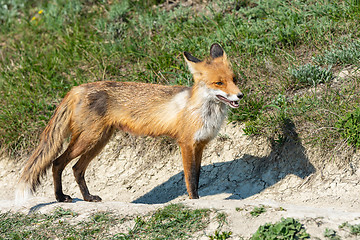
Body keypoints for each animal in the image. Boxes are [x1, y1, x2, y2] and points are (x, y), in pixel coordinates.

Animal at [15, 43, 243, 202]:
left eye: (234, 79)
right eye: (219, 83)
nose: (240, 96)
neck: (203, 111)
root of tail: (77, 87)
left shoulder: (200, 144)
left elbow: (197, 175)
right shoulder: (186, 144)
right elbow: (190, 179)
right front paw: (193, 200)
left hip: (99, 141)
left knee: (77, 169)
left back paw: (87, 198)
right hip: (88, 140)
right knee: (57, 163)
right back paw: (60, 198)